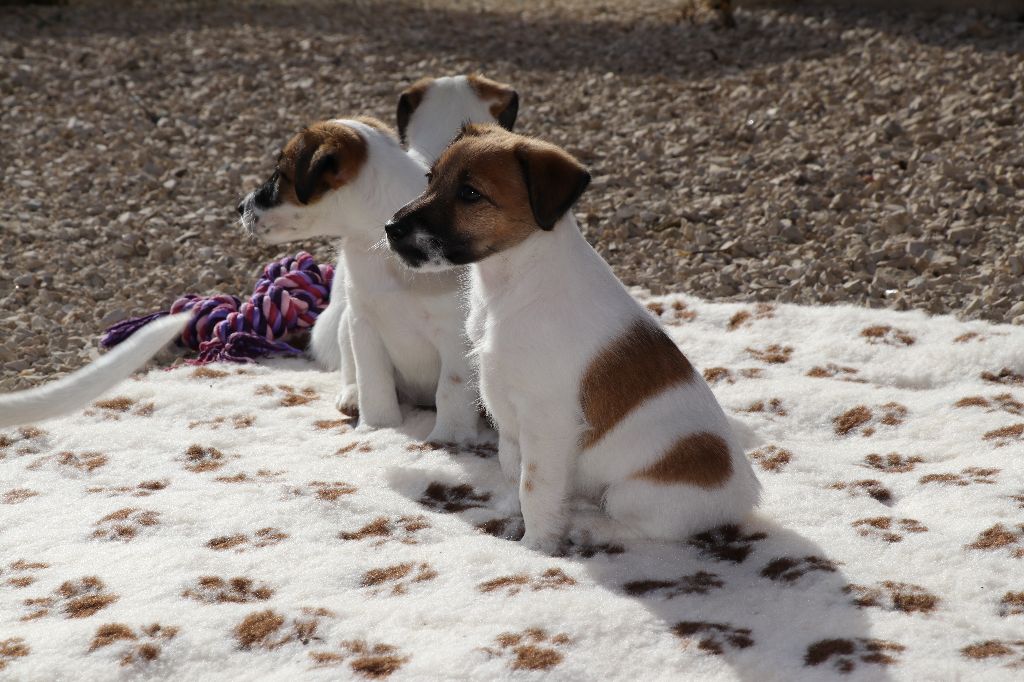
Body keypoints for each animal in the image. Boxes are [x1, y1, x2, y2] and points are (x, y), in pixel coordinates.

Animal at [385, 125, 761, 552]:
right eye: (430, 179)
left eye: (469, 193)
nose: (390, 228)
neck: (516, 282)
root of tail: (747, 498)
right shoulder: (509, 415)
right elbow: (513, 470)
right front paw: (512, 514)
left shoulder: (547, 421)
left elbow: (536, 488)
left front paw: (536, 548)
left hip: (632, 493)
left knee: (647, 530)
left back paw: (591, 528)